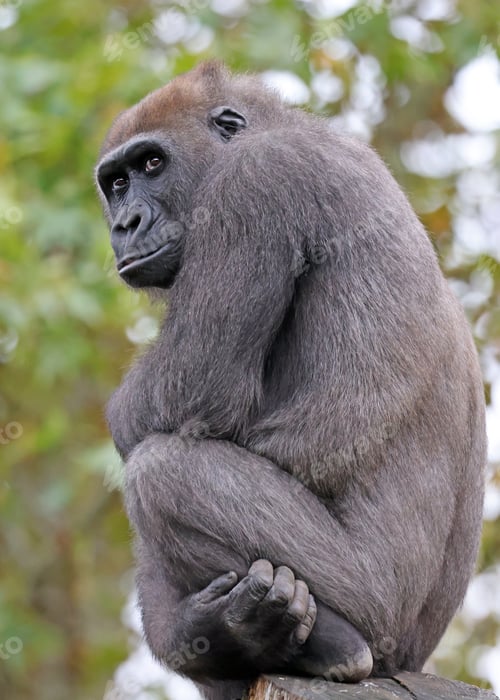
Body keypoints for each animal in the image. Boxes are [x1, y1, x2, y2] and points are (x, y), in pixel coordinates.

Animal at [95, 61, 487, 700]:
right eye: (116, 184)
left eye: (152, 164)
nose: (125, 224)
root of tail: (412, 657)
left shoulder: (254, 179)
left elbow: (188, 392)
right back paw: (226, 635)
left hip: (376, 604)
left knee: (160, 473)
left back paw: (327, 642)